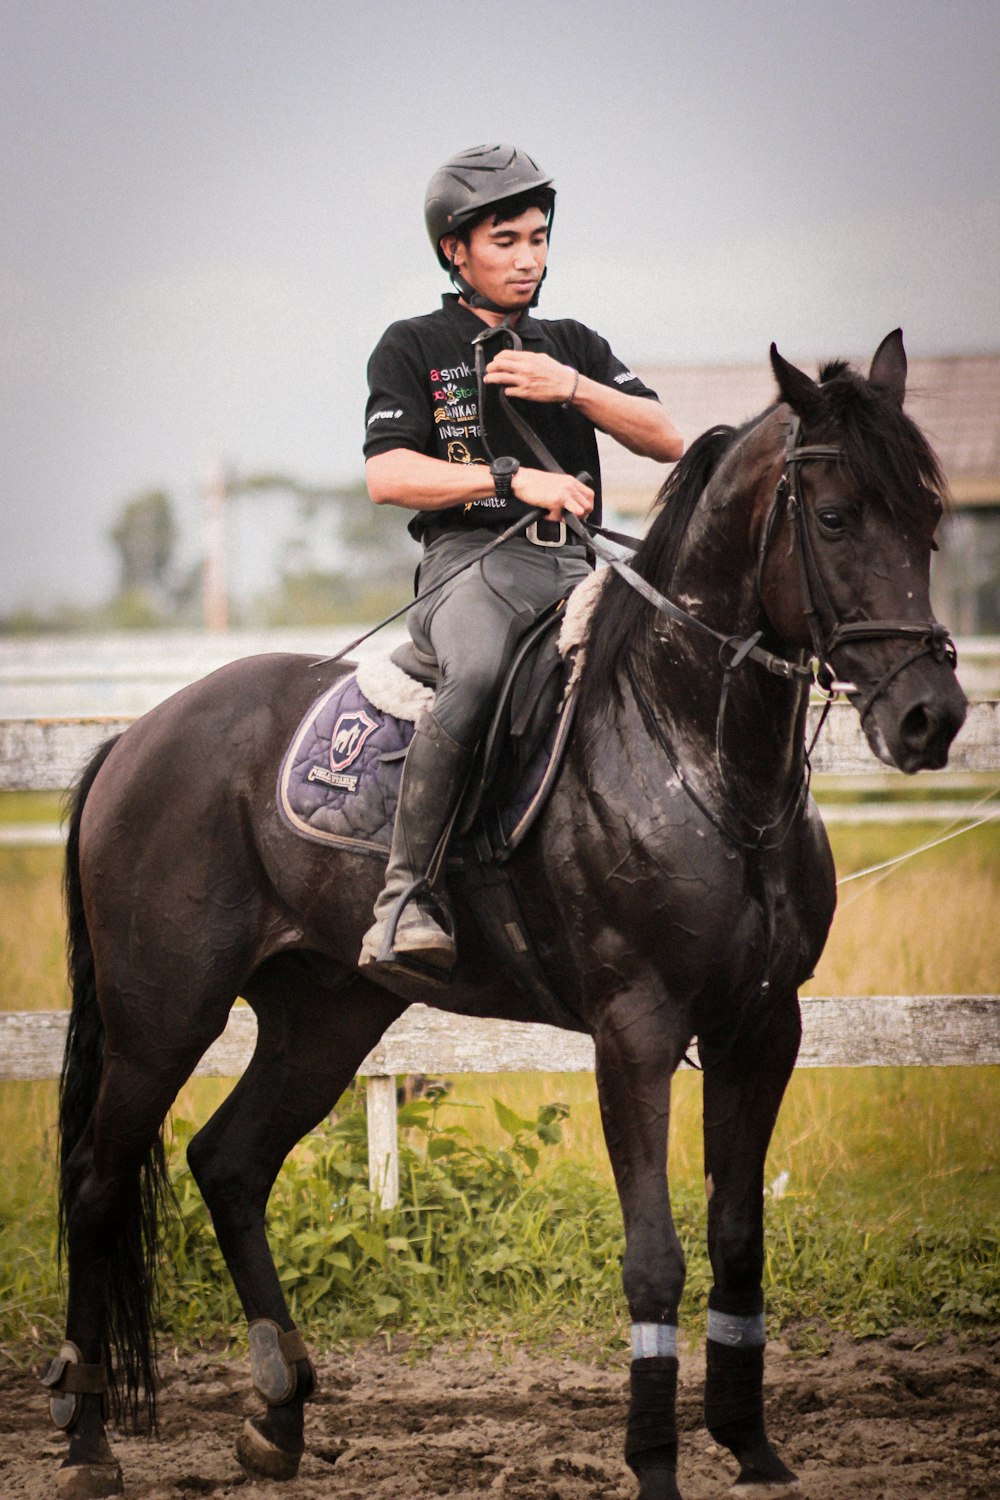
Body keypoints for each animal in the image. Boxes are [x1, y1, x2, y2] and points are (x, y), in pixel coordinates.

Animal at [48, 334, 971, 1500]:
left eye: (930, 514)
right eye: (839, 516)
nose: (930, 717)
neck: (692, 748)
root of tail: (136, 738)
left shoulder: (765, 1027)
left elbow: (739, 1239)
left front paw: (753, 1449)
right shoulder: (636, 1029)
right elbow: (655, 1257)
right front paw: (654, 1460)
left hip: (325, 1014)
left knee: (231, 1162)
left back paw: (277, 1415)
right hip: (161, 1016)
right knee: (96, 1184)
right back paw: (86, 1436)